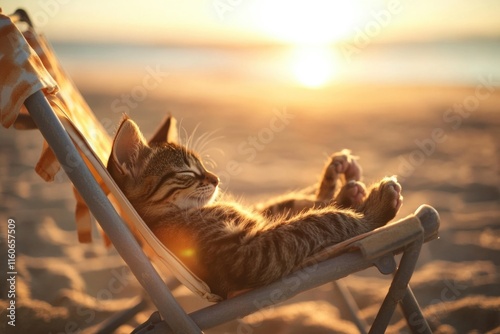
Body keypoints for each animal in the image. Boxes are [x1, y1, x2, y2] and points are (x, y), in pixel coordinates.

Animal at [108, 115, 402, 298]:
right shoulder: (247, 255)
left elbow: (293, 205)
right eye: (188, 172)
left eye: (203, 165)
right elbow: (322, 221)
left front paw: (342, 187)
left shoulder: (259, 218)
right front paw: (373, 210)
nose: (216, 178)